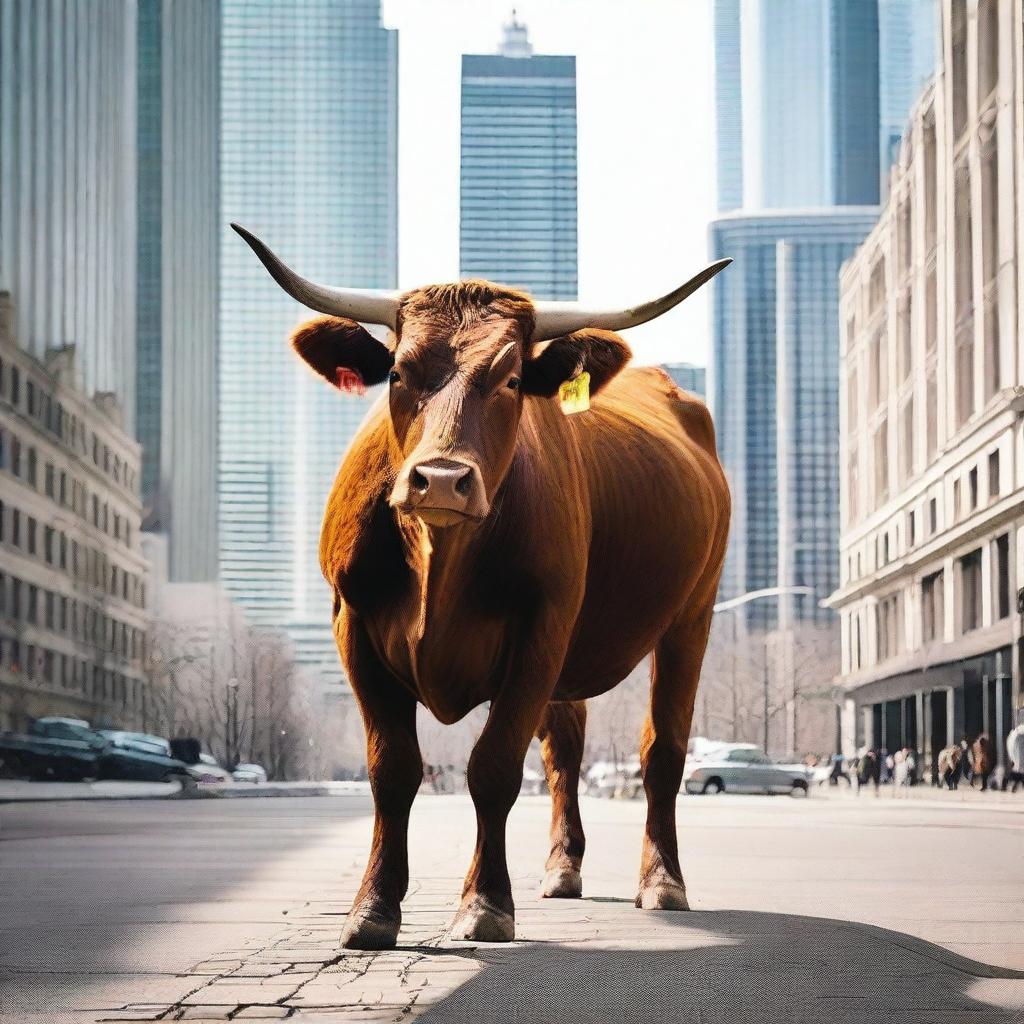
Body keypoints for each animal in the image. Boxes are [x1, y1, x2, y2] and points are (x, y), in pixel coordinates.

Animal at [234, 228, 729, 946]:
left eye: (512, 378)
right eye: (397, 372)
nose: (440, 479)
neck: (439, 563)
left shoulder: (540, 631)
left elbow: (493, 766)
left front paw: (486, 902)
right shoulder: (352, 629)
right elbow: (392, 768)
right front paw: (373, 907)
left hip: (692, 615)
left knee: (661, 750)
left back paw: (662, 881)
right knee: (565, 750)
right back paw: (562, 869)